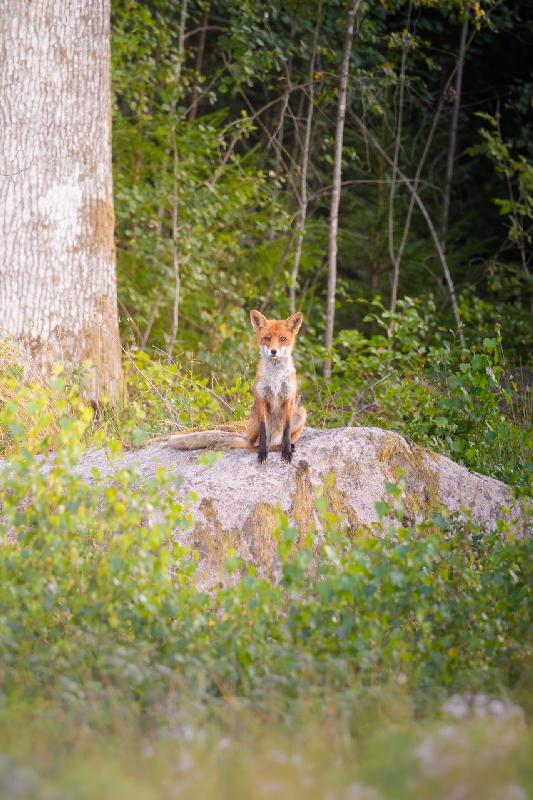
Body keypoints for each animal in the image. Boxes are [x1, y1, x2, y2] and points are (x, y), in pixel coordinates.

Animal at [168, 310, 307, 463]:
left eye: (283, 339)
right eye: (267, 338)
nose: (273, 351)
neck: (275, 377)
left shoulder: (288, 397)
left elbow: (287, 432)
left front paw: (286, 452)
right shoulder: (261, 397)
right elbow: (263, 433)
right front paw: (262, 453)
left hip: (301, 413)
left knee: (276, 442)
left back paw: (284, 447)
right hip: (256, 423)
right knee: (252, 445)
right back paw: (264, 449)